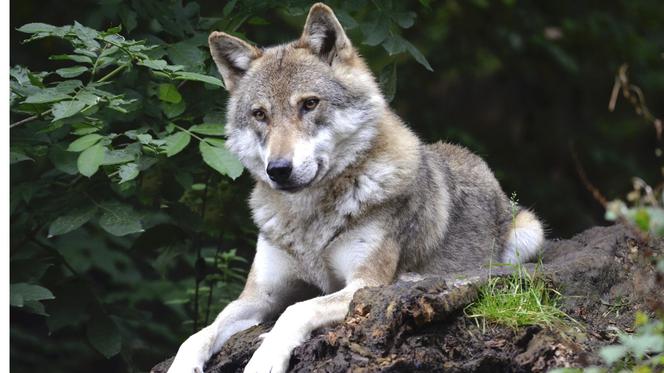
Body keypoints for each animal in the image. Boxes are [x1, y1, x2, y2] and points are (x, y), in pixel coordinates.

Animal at [166, 2, 544, 372]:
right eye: (260, 114)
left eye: (309, 104)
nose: (279, 170)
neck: (309, 220)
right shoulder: (259, 296)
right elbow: (199, 333)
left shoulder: (364, 284)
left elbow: (296, 309)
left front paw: (265, 358)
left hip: (529, 233)